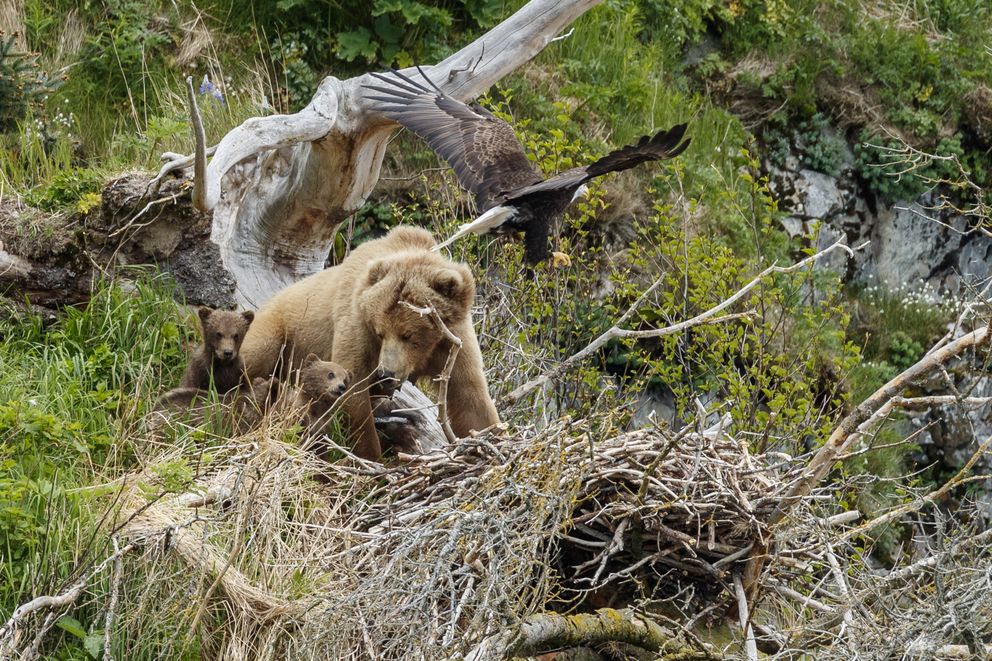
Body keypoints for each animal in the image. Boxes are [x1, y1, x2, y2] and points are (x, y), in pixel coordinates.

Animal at [239, 224, 500, 456]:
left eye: (408, 334)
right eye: (380, 331)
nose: (386, 374)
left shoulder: (451, 342)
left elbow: (470, 397)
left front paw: (488, 436)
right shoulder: (357, 325)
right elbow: (355, 396)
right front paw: (371, 457)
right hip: (276, 332)